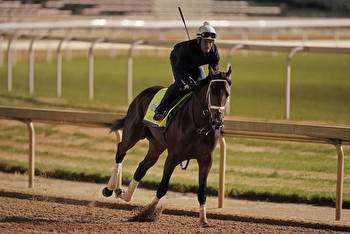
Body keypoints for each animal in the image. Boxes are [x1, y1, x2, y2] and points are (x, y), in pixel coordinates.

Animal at [102, 66, 231, 227]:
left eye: (227, 93)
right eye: (212, 92)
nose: (218, 121)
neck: (198, 125)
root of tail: (144, 93)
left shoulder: (206, 159)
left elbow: (202, 191)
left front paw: (203, 220)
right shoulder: (173, 156)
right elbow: (163, 187)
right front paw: (147, 213)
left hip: (156, 145)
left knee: (142, 166)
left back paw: (125, 195)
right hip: (133, 133)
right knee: (121, 150)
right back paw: (110, 188)